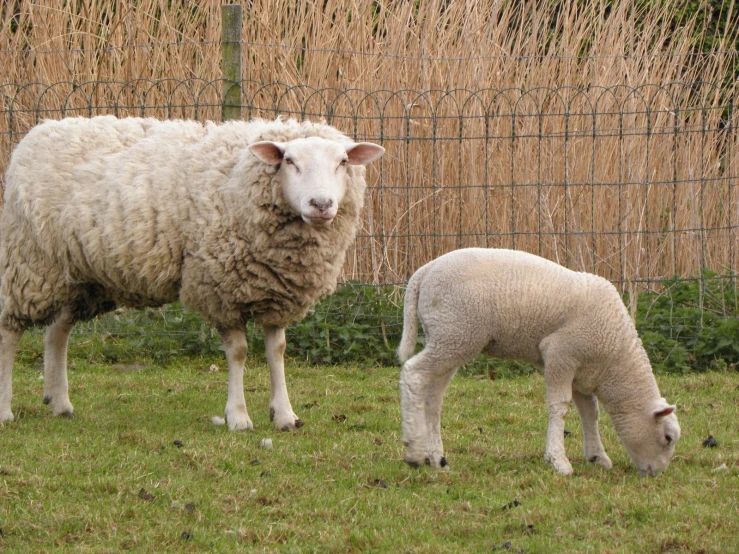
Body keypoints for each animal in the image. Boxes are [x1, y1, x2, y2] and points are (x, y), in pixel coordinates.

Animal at [1, 114, 388, 430]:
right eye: (289, 161)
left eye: (342, 162)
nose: (321, 204)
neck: (238, 179)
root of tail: (37, 132)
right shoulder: (220, 287)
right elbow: (239, 353)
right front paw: (238, 417)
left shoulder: (275, 290)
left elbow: (276, 351)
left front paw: (285, 415)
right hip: (27, 263)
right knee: (10, 332)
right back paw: (6, 411)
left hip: (81, 276)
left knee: (58, 331)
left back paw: (59, 403)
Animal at [398, 247, 684, 474]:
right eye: (668, 437)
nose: (658, 473)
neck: (615, 359)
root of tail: (424, 271)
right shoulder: (560, 353)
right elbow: (560, 407)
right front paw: (559, 461)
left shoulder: (581, 372)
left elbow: (590, 412)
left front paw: (596, 456)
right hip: (455, 335)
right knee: (413, 373)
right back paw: (413, 451)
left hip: (450, 339)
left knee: (433, 397)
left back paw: (437, 458)